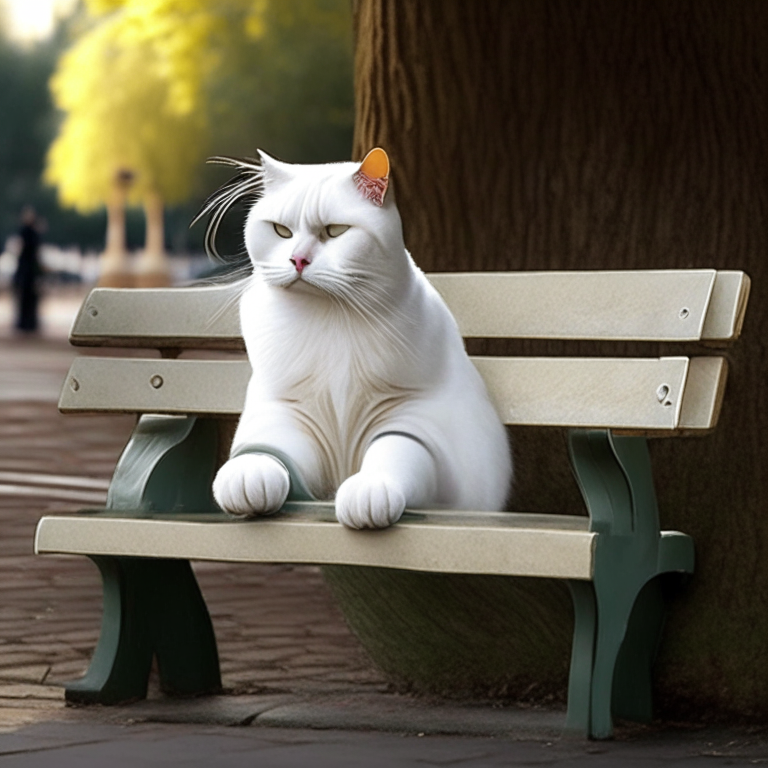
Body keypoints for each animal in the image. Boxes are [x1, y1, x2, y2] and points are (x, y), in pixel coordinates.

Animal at [210, 147, 512, 528]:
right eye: (281, 230)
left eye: (335, 231)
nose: (297, 260)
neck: (330, 321)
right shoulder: (288, 417)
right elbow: (266, 455)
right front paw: (246, 479)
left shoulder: (413, 419)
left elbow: (393, 453)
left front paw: (368, 492)